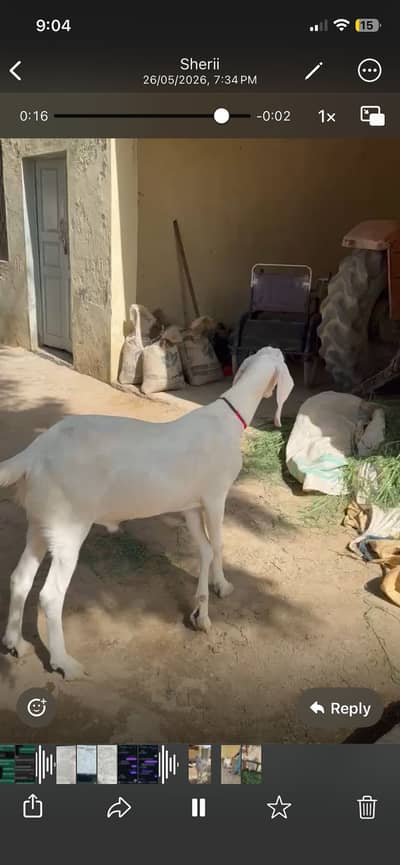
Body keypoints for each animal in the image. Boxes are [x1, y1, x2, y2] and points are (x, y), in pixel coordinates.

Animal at [0, 347, 294, 679]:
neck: (226, 418)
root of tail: (35, 453)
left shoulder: (190, 506)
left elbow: (205, 549)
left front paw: (201, 611)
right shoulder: (215, 496)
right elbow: (218, 544)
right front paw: (221, 587)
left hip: (41, 522)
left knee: (20, 578)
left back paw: (15, 643)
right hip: (68, 526)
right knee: (50, 596)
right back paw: (64, 663)